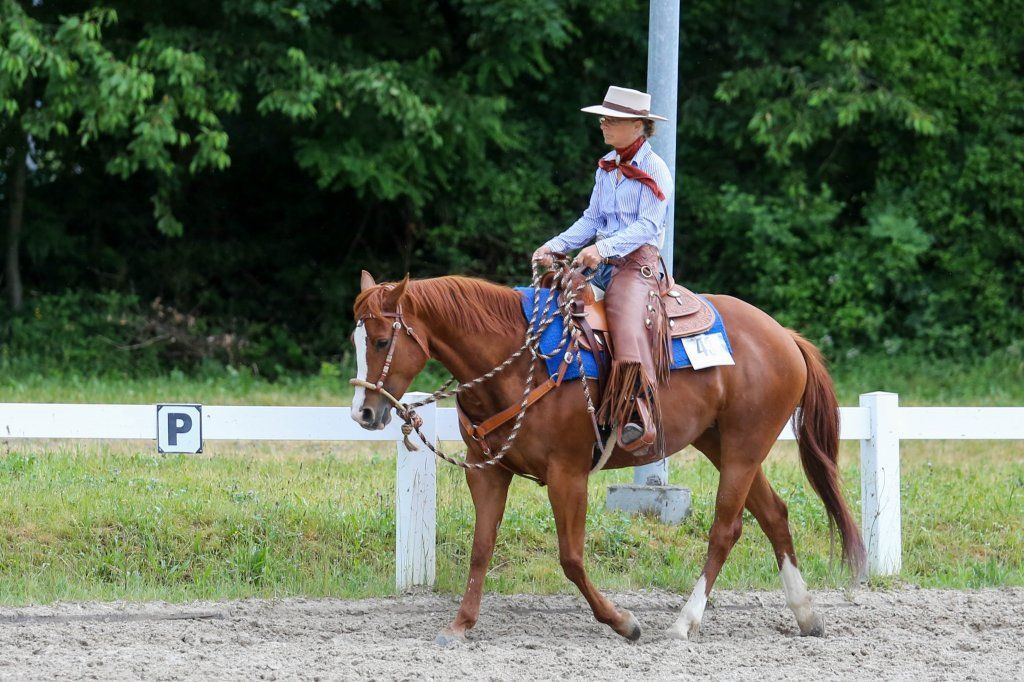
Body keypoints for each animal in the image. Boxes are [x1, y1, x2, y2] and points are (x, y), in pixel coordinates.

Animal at [350, 270, 865, 643]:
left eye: (381, 341)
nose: (363, 412)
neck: (520, 362)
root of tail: (785, 336)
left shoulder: (568, 474)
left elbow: (571, 558)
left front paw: (623, 622)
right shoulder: (489, 474)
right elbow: (481, 548)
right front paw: (459, 625)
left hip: (744, 447)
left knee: (726, 528)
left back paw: (684, 622)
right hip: (722, 445)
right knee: (774, 514)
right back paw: (805, 615)